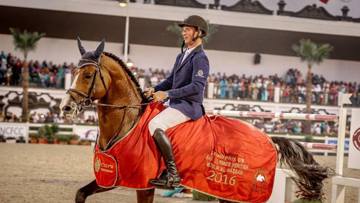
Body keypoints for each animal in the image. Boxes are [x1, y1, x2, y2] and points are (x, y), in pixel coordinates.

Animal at [59, 38, 332, 202]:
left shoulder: (140, 183)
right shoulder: (110, 177)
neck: (127, 123)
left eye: (88, 74)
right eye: (73, 71)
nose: (65, 107)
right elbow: (80, 194)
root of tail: (268, 138)